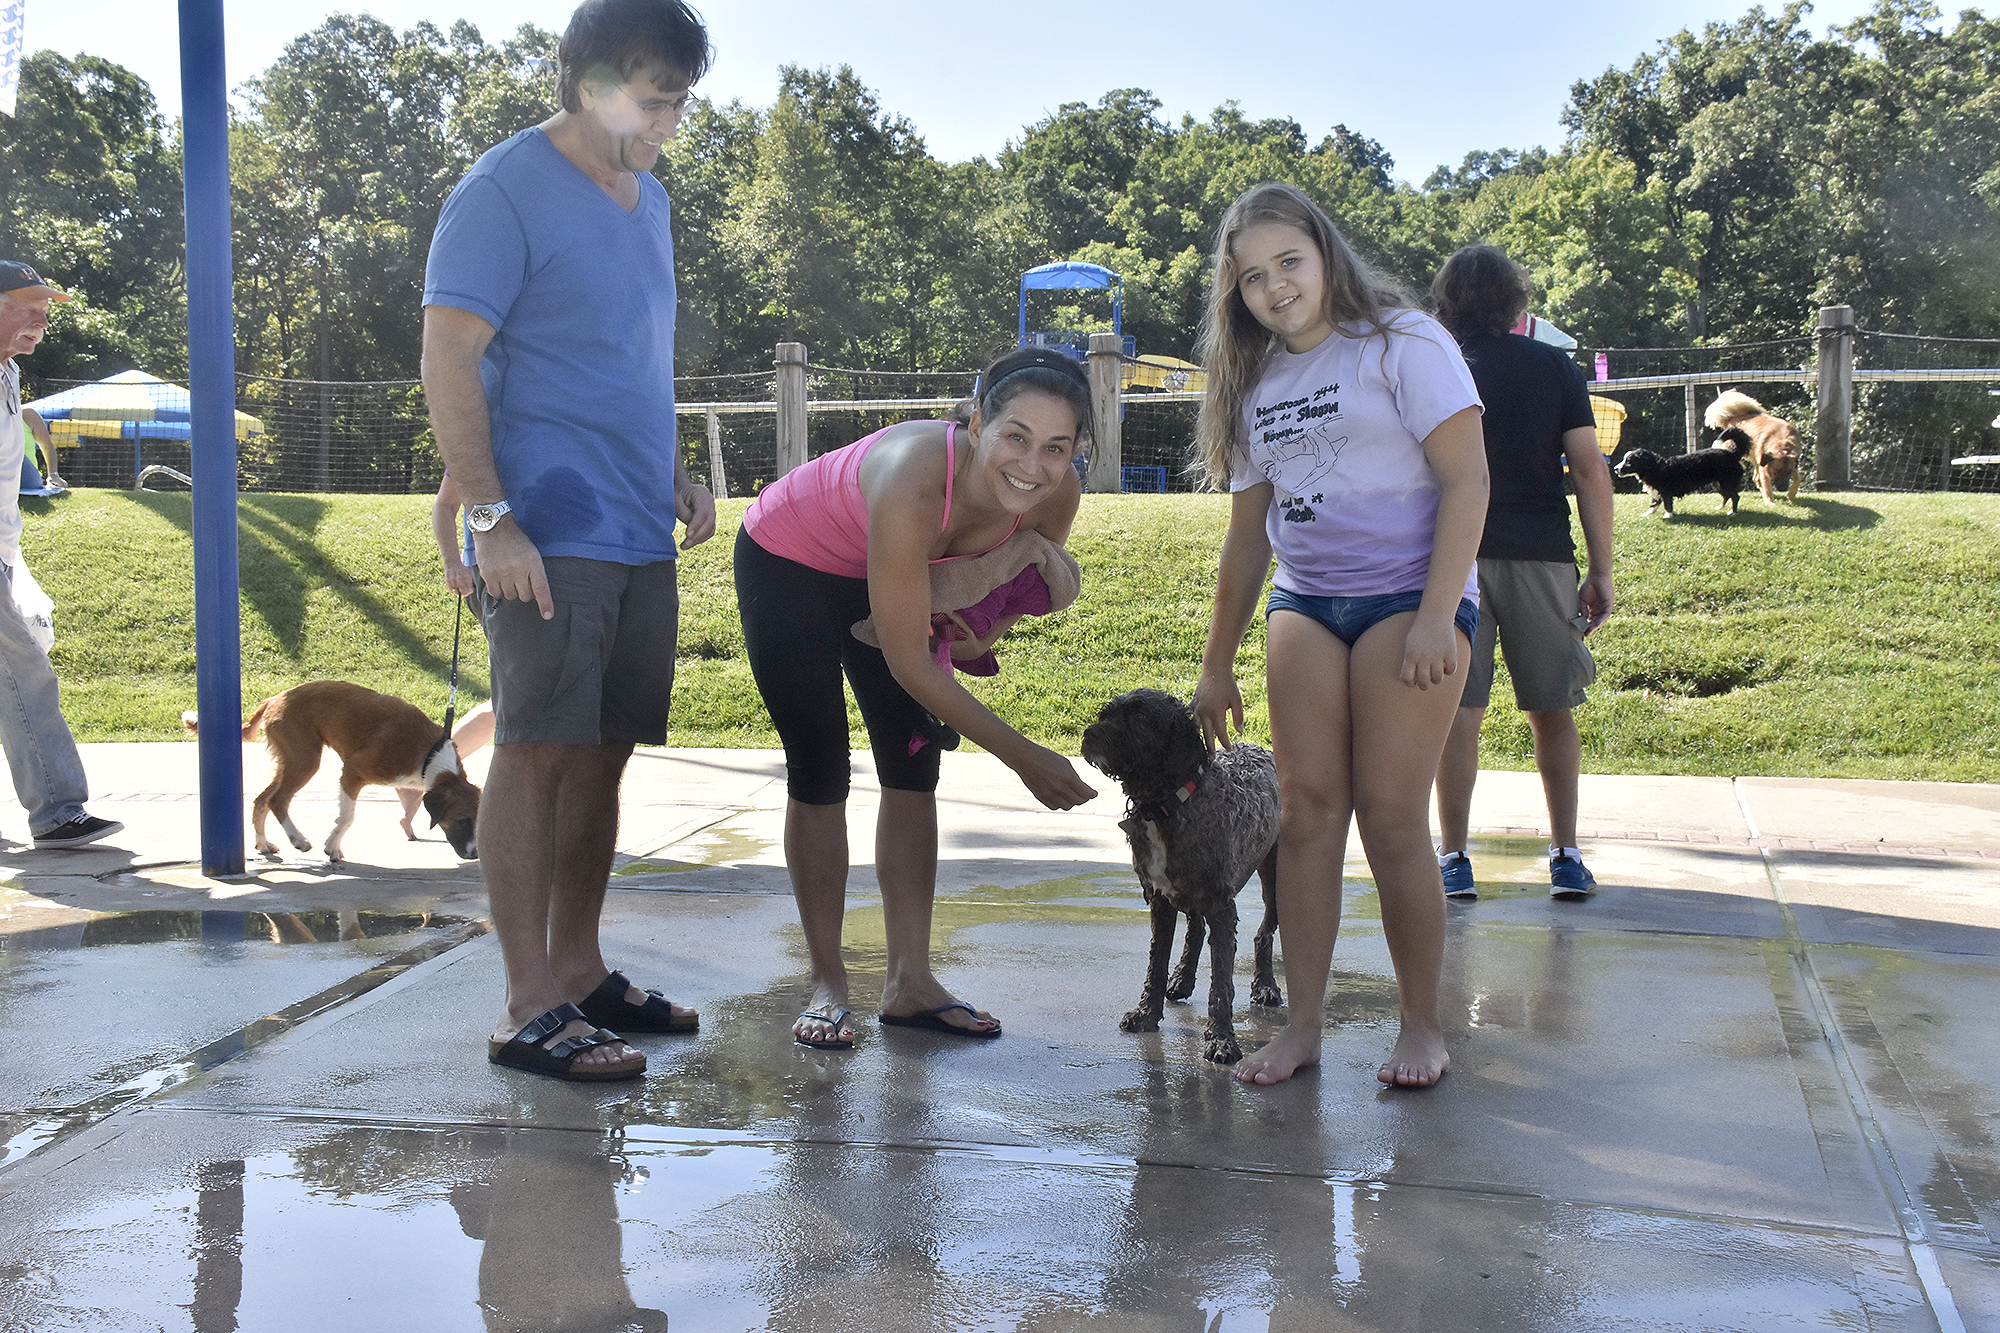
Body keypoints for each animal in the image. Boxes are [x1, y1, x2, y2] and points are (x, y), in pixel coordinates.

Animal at [189, 680, 482, 856]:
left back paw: (263, 843)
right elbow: (347, 817)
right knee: (277, 800)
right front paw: (332, 847)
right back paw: (298, 839)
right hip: (305, 759)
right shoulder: (352, 771)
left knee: (262, 799)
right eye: (462, 820)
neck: (429, 756)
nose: (475, 854)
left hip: (290, 760)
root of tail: (275, 698)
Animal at [1080, 684, 1280, 1056]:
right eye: (1106, 713)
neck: (1165, 807)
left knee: (1264, 933)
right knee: (1196, 930)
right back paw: (1183, 979)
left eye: (1142, 716)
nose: (1090, 734)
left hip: (1276, 878)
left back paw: (1265, 986)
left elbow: (1221, 983)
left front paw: (1221, 1039)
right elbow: (1156, 963)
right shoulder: (1160, 899)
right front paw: (1146, 1013)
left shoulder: (1221, 907)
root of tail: (1261, 748)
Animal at [1608, 436, 1752, 520]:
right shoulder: (1656, 491)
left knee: (1735, 497)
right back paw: (1720, 507)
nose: (1615, 469)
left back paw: (1733, 512)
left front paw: (1668, 515)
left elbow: (1667, 504)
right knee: (1726, 496)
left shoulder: (1665, 492)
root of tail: (1732, 454)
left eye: (1629, 461)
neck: (1655, 467)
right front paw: (1647, 514)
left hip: (1726, 483)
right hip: (1718, 484)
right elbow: (1653, 504)